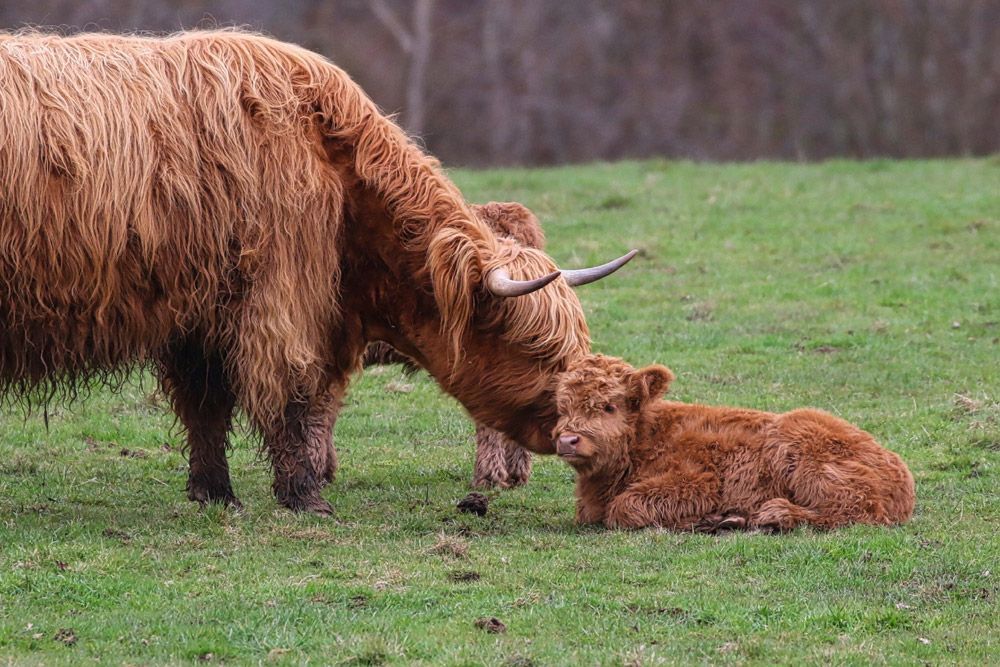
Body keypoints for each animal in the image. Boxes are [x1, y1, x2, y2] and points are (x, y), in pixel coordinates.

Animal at [0, 30, 635, 514]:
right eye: (536, 349)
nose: (571, 433)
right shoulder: (279, 299)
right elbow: (292, 396)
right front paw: (304, 495)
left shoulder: (199, 314)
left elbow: (206, 406)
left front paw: (214, 493)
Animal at [554, 355, 915, 531]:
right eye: (562, 407)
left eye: (608, 406)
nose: (568, 440)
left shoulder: (698, 481)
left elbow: (625, 507)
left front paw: (701, 520)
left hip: (808, 459)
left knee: (856, 508)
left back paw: (773, 515)